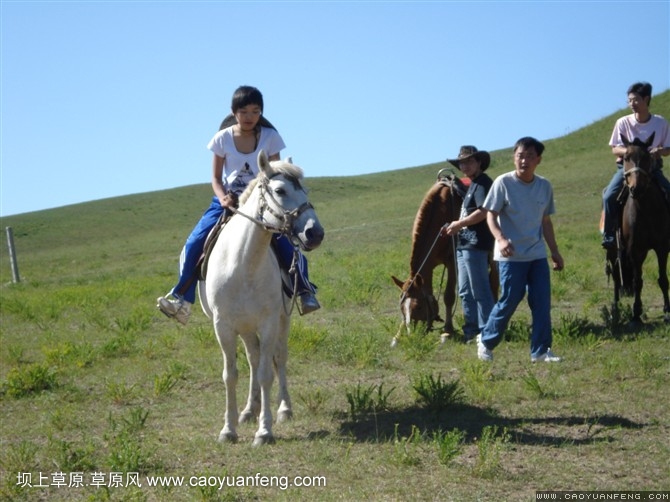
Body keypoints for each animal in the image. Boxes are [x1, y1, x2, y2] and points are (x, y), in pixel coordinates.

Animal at [200, 150, 326, 448]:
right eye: (280, 190)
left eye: (305, 190)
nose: (315, 233)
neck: (242, 264)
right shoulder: (223, 327)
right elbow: (231, 375)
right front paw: (229, 429)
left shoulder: (269, 322)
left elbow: (267, 373)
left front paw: (264, 430)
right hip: (245, 327)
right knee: (253, 359)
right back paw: (249, 410)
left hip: (281, 321)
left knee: (278, 358)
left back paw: (283, 409)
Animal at [608, 131, 670, 324]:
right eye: (626, 157)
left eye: (647, 157)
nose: (637, 188)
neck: (646, 209)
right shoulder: (635, 250)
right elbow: (637, 282)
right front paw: (636, 313)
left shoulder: (662, 247)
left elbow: (663, 279)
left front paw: (667, 311)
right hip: (613, 250)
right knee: (615, 277)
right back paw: (616, 308)